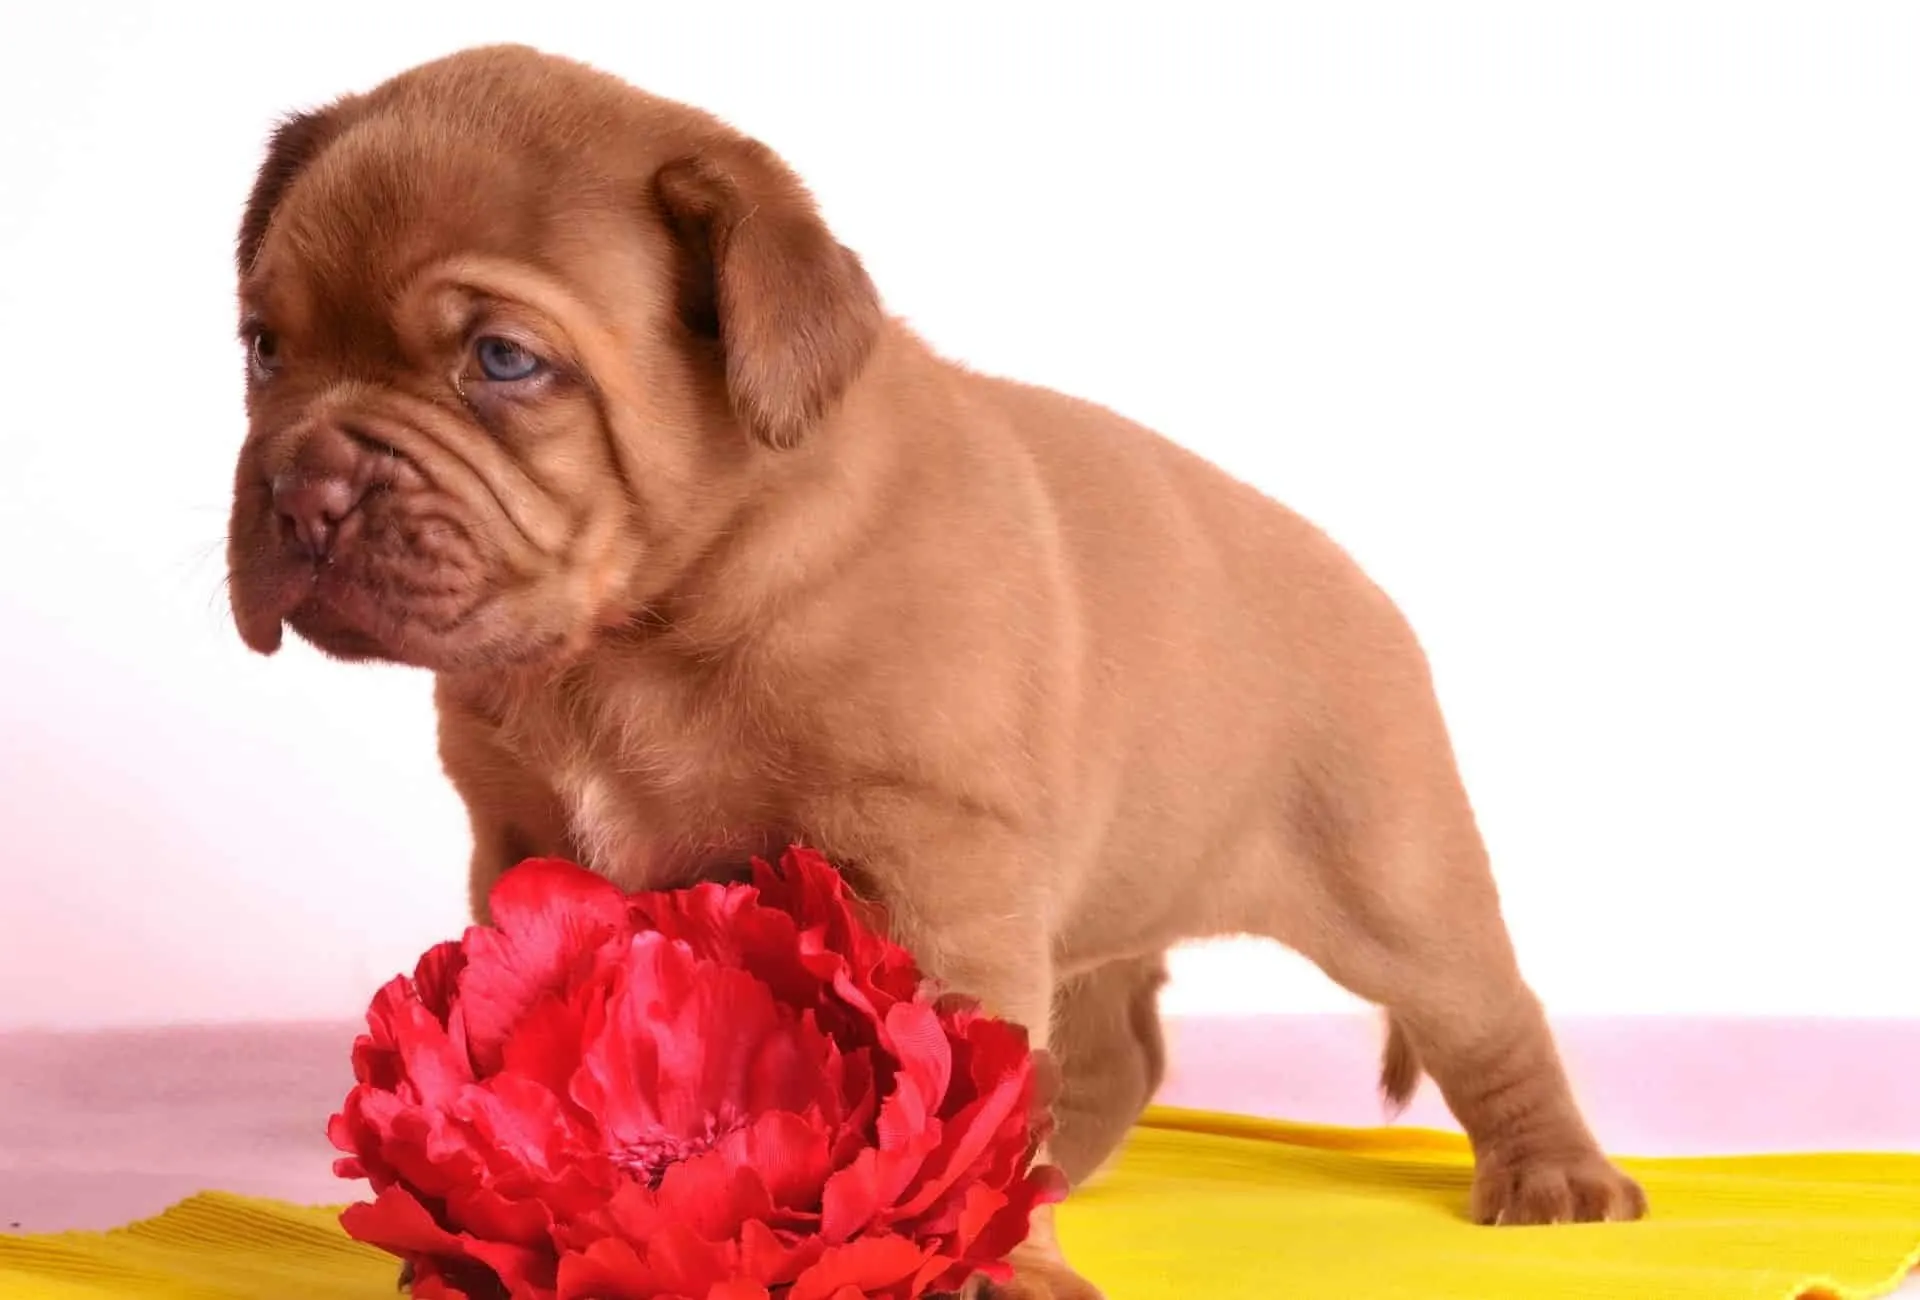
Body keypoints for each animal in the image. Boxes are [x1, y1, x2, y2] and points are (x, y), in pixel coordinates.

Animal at [220, 45, 1635, 1290]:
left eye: (505, 361)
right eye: (264, 348)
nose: (301, 492)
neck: (638, 632)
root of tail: (1368, 587)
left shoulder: (934, 862)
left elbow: (967, 1080)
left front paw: (990, 1259)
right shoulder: (527, 841)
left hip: (1395, 873)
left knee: (1489, 1014)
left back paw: (1556, 1178)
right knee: (1113, 1045)